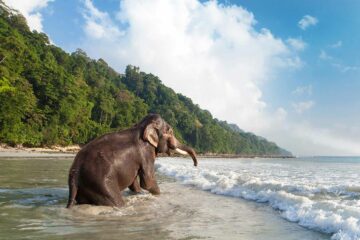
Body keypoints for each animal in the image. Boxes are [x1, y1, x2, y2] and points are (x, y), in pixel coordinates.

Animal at [66, 113, 198, 207]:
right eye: (170, 131)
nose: (195, 165)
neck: (141, 126)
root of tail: (74, 174)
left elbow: (134, 181)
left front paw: (139, 193)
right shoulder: (146, 153)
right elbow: (148, 182)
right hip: (101, 184)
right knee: (116, 201)